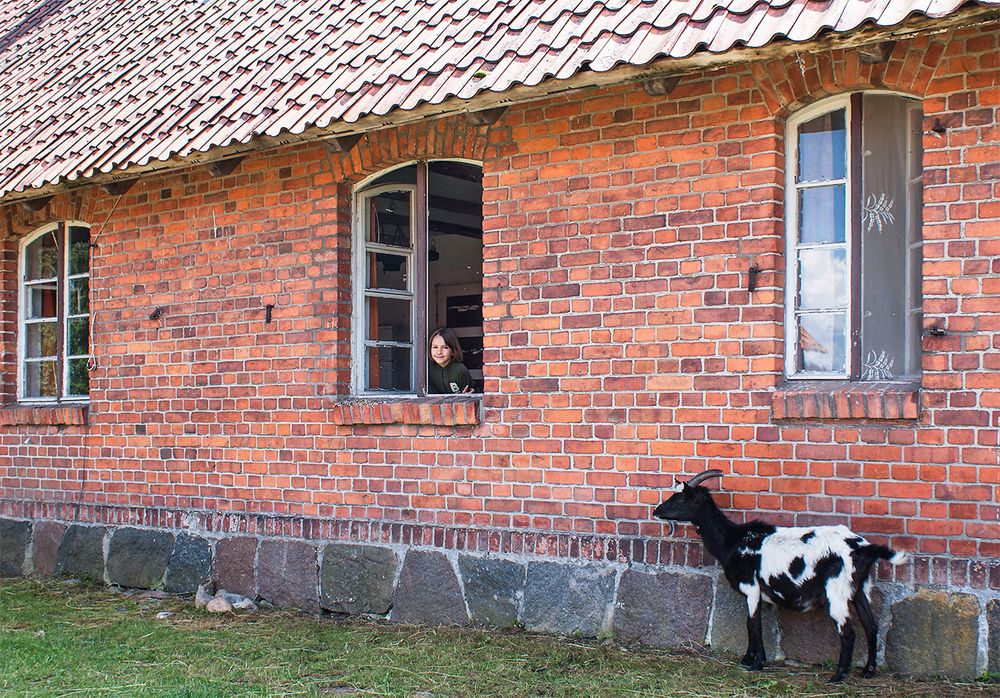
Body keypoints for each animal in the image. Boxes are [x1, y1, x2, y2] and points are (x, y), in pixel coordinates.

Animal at [652, 468, 912, 680]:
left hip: (836, 591)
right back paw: (868, 671)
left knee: (848, 632)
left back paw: (838, 676)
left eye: (681, 497)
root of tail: (863, 548)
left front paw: (756, 663)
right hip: (860, 590)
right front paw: (749, 658)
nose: (657, 510)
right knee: (871, 626)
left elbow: (753, 624)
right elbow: (751, 624)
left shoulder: (752, 587)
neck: (733, 541)